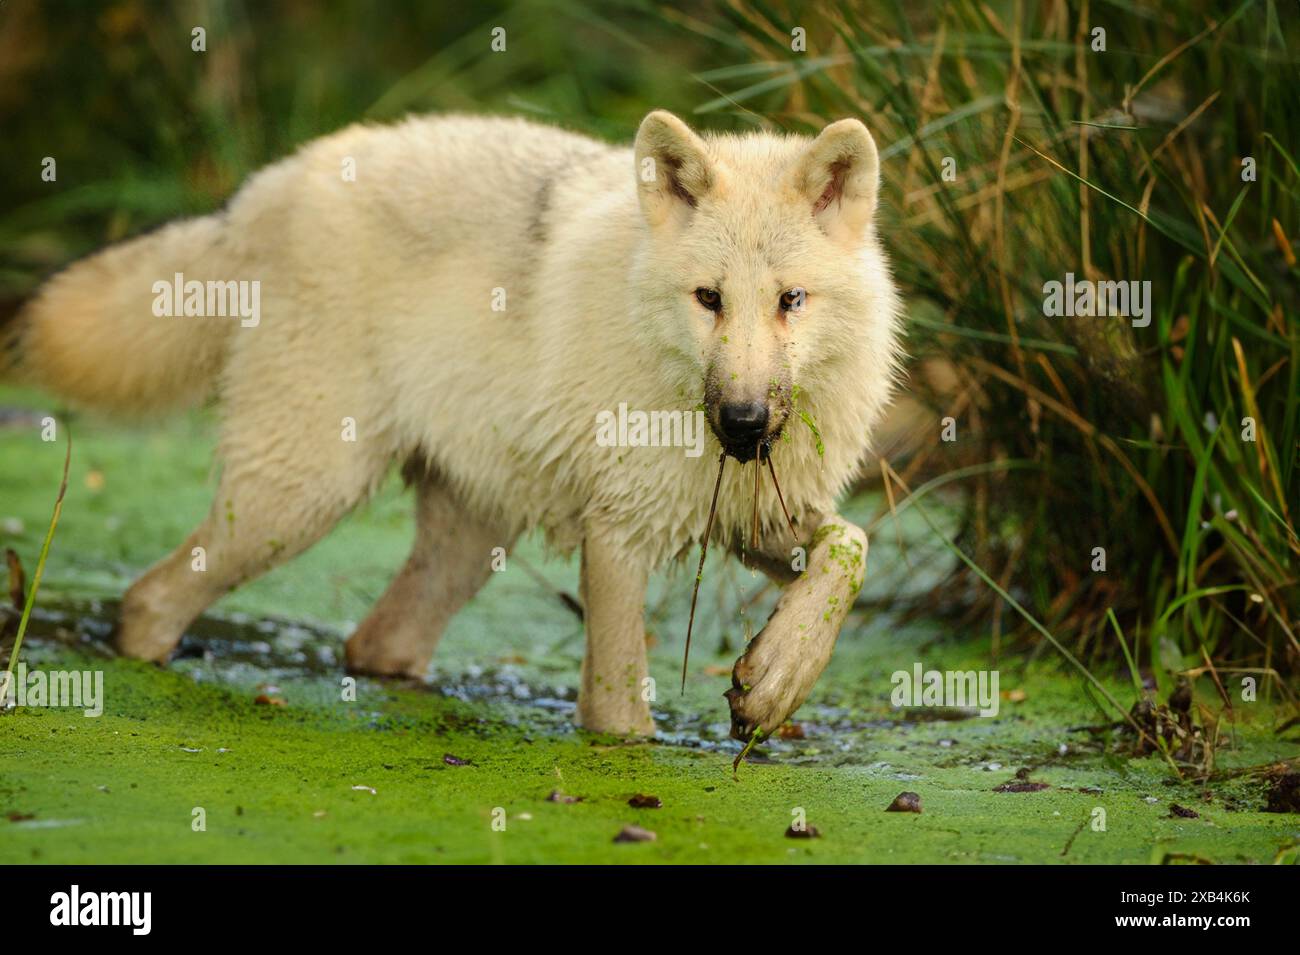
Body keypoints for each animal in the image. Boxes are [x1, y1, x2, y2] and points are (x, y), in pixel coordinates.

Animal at [7, 111, 904, 738]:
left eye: (791, 299)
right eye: (708, 298)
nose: (744, 426)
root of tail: (264, 188)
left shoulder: (752, 517)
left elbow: (852, 545)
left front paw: (776, 678)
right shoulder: (619, 535)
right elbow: (619, 717)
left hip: (466, 539)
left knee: (375, 642)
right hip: (296, 502)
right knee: (148, 601)